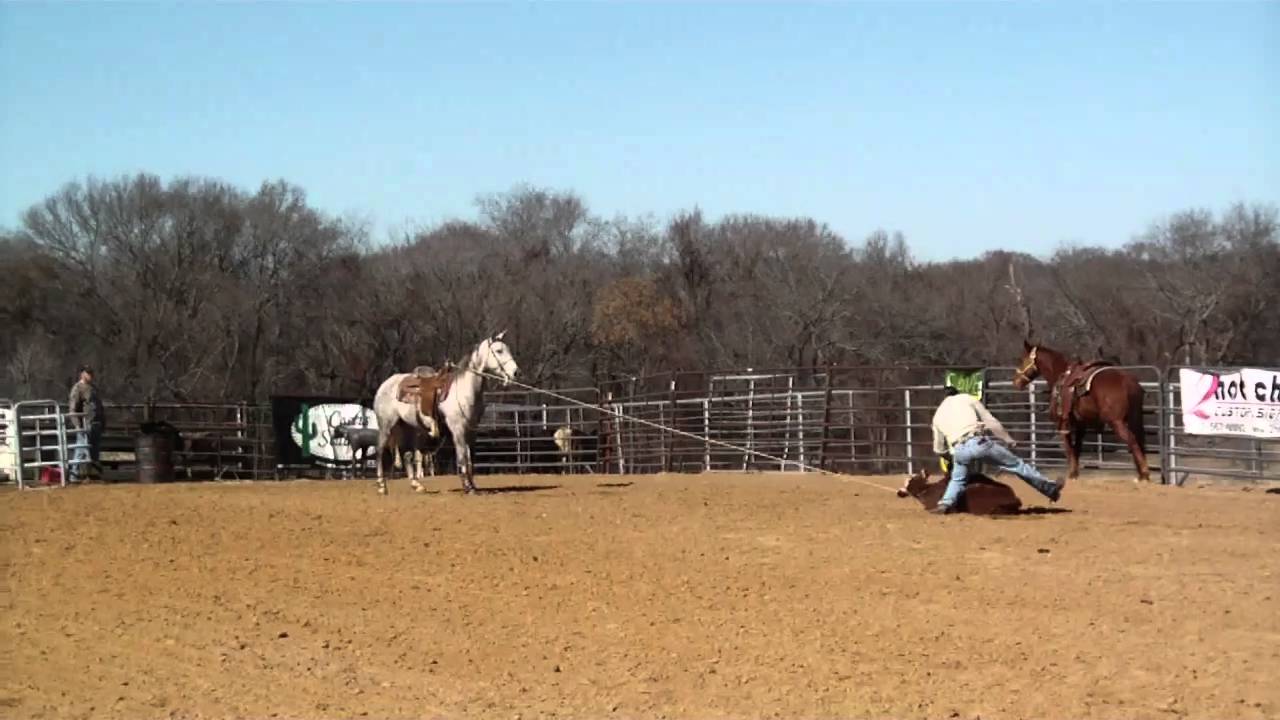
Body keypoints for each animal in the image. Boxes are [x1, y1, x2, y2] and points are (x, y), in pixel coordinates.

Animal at [372, 332, 519, 495]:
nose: (515, 372)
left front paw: (473, 485)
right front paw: (467, 486)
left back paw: (416, 485)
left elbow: (471, 458)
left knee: (407, 454)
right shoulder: (458, 429)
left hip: (407, 427)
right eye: (499, 351)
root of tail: (384, 385)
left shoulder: (472, 430)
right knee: (380, 452)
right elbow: (462, 457)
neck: (465, 390)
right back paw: (381, 486)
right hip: (386, 426)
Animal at [1012, 341, 1151, 483]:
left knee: (1132, 440)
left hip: (1116, 422)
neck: (1060, 375)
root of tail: (1128, 382)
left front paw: (1071, 474)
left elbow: (1069, 449)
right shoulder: (1081, 425)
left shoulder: (1063, 424)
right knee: (1140, 439)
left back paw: (1144, 474)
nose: (1015, 382)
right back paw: (1142, 474)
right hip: (1134, 417)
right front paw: (1075, 474)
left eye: (1022, 360)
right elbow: (1077, 448)